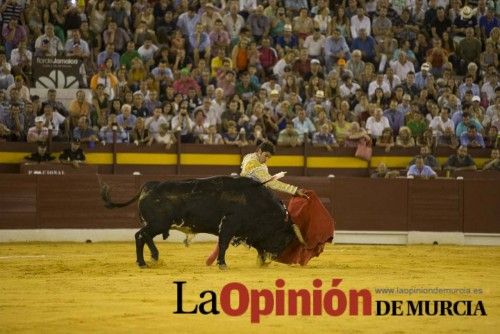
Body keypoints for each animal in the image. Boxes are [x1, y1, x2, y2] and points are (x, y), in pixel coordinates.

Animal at [100, 176, 304, 268]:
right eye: (286, 238)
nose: (277, 257)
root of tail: (148, 186)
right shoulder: (229, 225)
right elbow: (223, 244)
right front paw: (222, 264)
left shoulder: (247, 231)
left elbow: (257, 246)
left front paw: (261, 261)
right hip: (158, 223)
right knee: (140, 236)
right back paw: (144, 262)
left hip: (156, 224)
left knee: (144, 236)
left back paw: (153, 258)